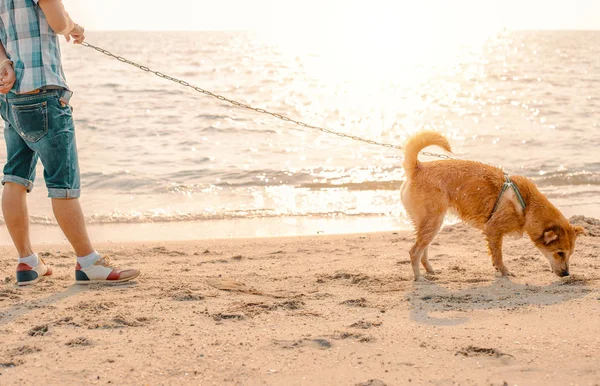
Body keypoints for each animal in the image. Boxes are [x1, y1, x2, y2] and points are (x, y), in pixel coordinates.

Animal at [398, 131, 584, 282]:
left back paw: (430, 270)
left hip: (429, 223)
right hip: (433, 221)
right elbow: (498, 255)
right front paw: (504, 271)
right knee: (414, 252)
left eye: (571, 253)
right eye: (560, 252)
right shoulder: (494, 230)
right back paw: (419, 277)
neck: (528, 205)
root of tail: (418, 167)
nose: (567, 274)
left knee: (422, 250)